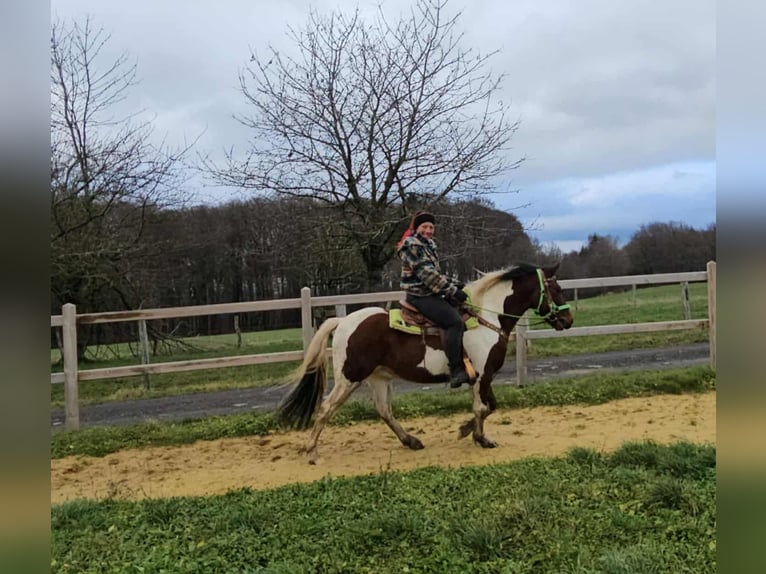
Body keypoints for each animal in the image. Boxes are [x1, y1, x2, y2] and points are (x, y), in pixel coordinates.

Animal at [278, 262, 573, 464]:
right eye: (556, 289)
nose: (568, 320)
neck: (488, 318)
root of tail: (343, 321)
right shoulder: (482, 375)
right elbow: (482, 408)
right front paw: (480, 438)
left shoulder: (483, 376)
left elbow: (490, 407)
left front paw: (466, 431)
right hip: (349, 377)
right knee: (326, 408)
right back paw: (312, 452)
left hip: (379, 378)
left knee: (384, 410)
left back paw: (411, 440)